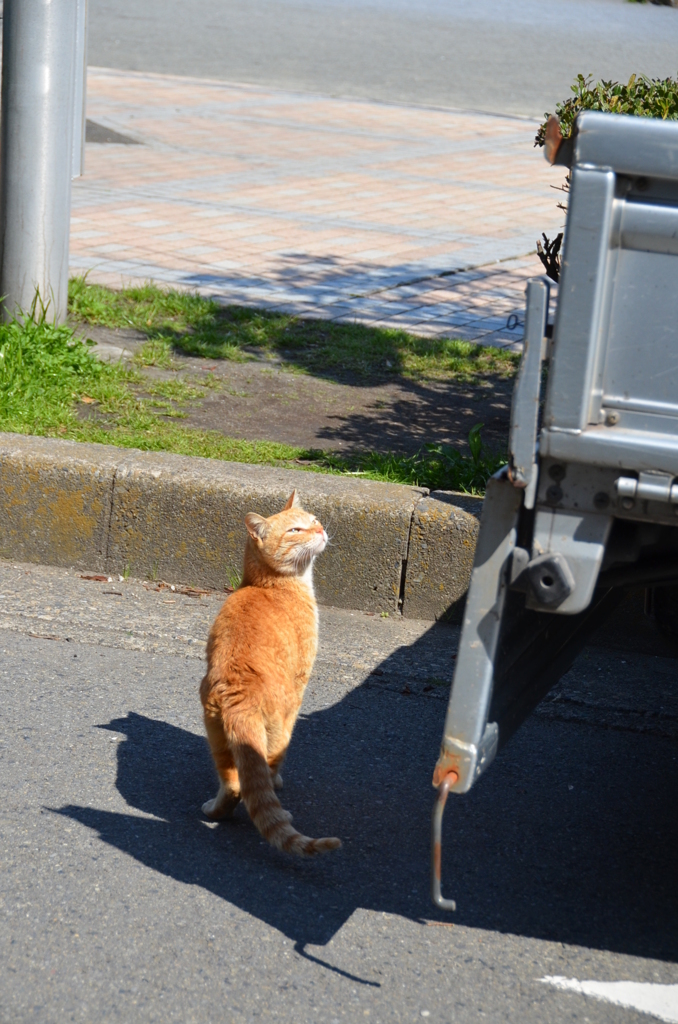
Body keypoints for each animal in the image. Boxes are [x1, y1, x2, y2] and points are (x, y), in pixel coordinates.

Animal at [199, 489, 342, 856]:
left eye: (314, 519)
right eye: (295, 530)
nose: (321, 529)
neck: (269, 585)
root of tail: (239, 688)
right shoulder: (301, 680)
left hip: (216, 732)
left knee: (234, 785)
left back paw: (214, 810)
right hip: (280, 723)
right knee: (266, 768)